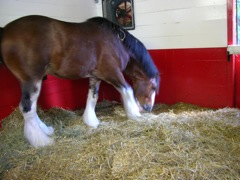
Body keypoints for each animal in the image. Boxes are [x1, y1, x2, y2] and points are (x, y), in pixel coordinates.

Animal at [0, 15, 161, 148]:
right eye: (153, 87)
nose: (148, 108)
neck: (118, 43)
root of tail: (5, 31)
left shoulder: (96, 77)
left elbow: (92, 97)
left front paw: (92, 121)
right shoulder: (112, 73)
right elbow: (128, 90)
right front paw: (135, 115)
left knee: (30, 108)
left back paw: (46, 130)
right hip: (32, 79)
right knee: (27, 108)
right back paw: (41, 140)